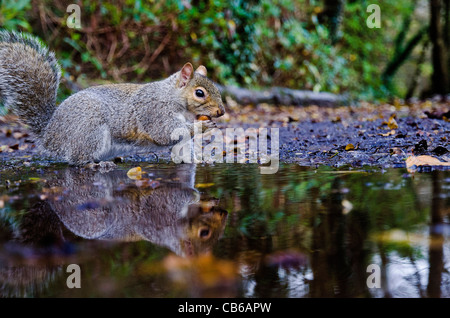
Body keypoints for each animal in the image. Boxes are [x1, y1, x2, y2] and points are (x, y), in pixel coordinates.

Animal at [0, 30, 225, 165]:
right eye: (199, 93)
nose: (221, 112)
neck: (174, 98)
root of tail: (50, 132)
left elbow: (184, 150)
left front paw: (201, 161)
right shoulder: (154, 110)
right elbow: (164, 132)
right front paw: (202, 126)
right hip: (89, 129)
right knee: (78, 158)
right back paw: (96, 165)